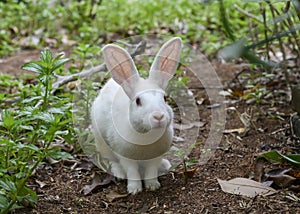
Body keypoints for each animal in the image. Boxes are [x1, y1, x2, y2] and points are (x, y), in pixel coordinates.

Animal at [90, 36, 182, 194]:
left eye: (164, 98)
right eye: (138, 101)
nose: (158, 116)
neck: (147, 134)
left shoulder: (155, 157)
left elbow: (151, 170)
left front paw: (152, 185)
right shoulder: (125, 157)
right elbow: (132, 171)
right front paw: (134, 189)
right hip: (102, 142)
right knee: (110, 160)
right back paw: (119, 173)